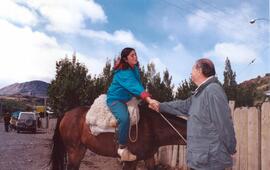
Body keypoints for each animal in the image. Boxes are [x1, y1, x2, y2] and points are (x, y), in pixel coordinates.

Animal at [49, 103, 187, 169]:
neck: (152, 125)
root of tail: (66, 113)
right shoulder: (131, 162)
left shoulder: (149, 158)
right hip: (74, 150)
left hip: (81, 150)